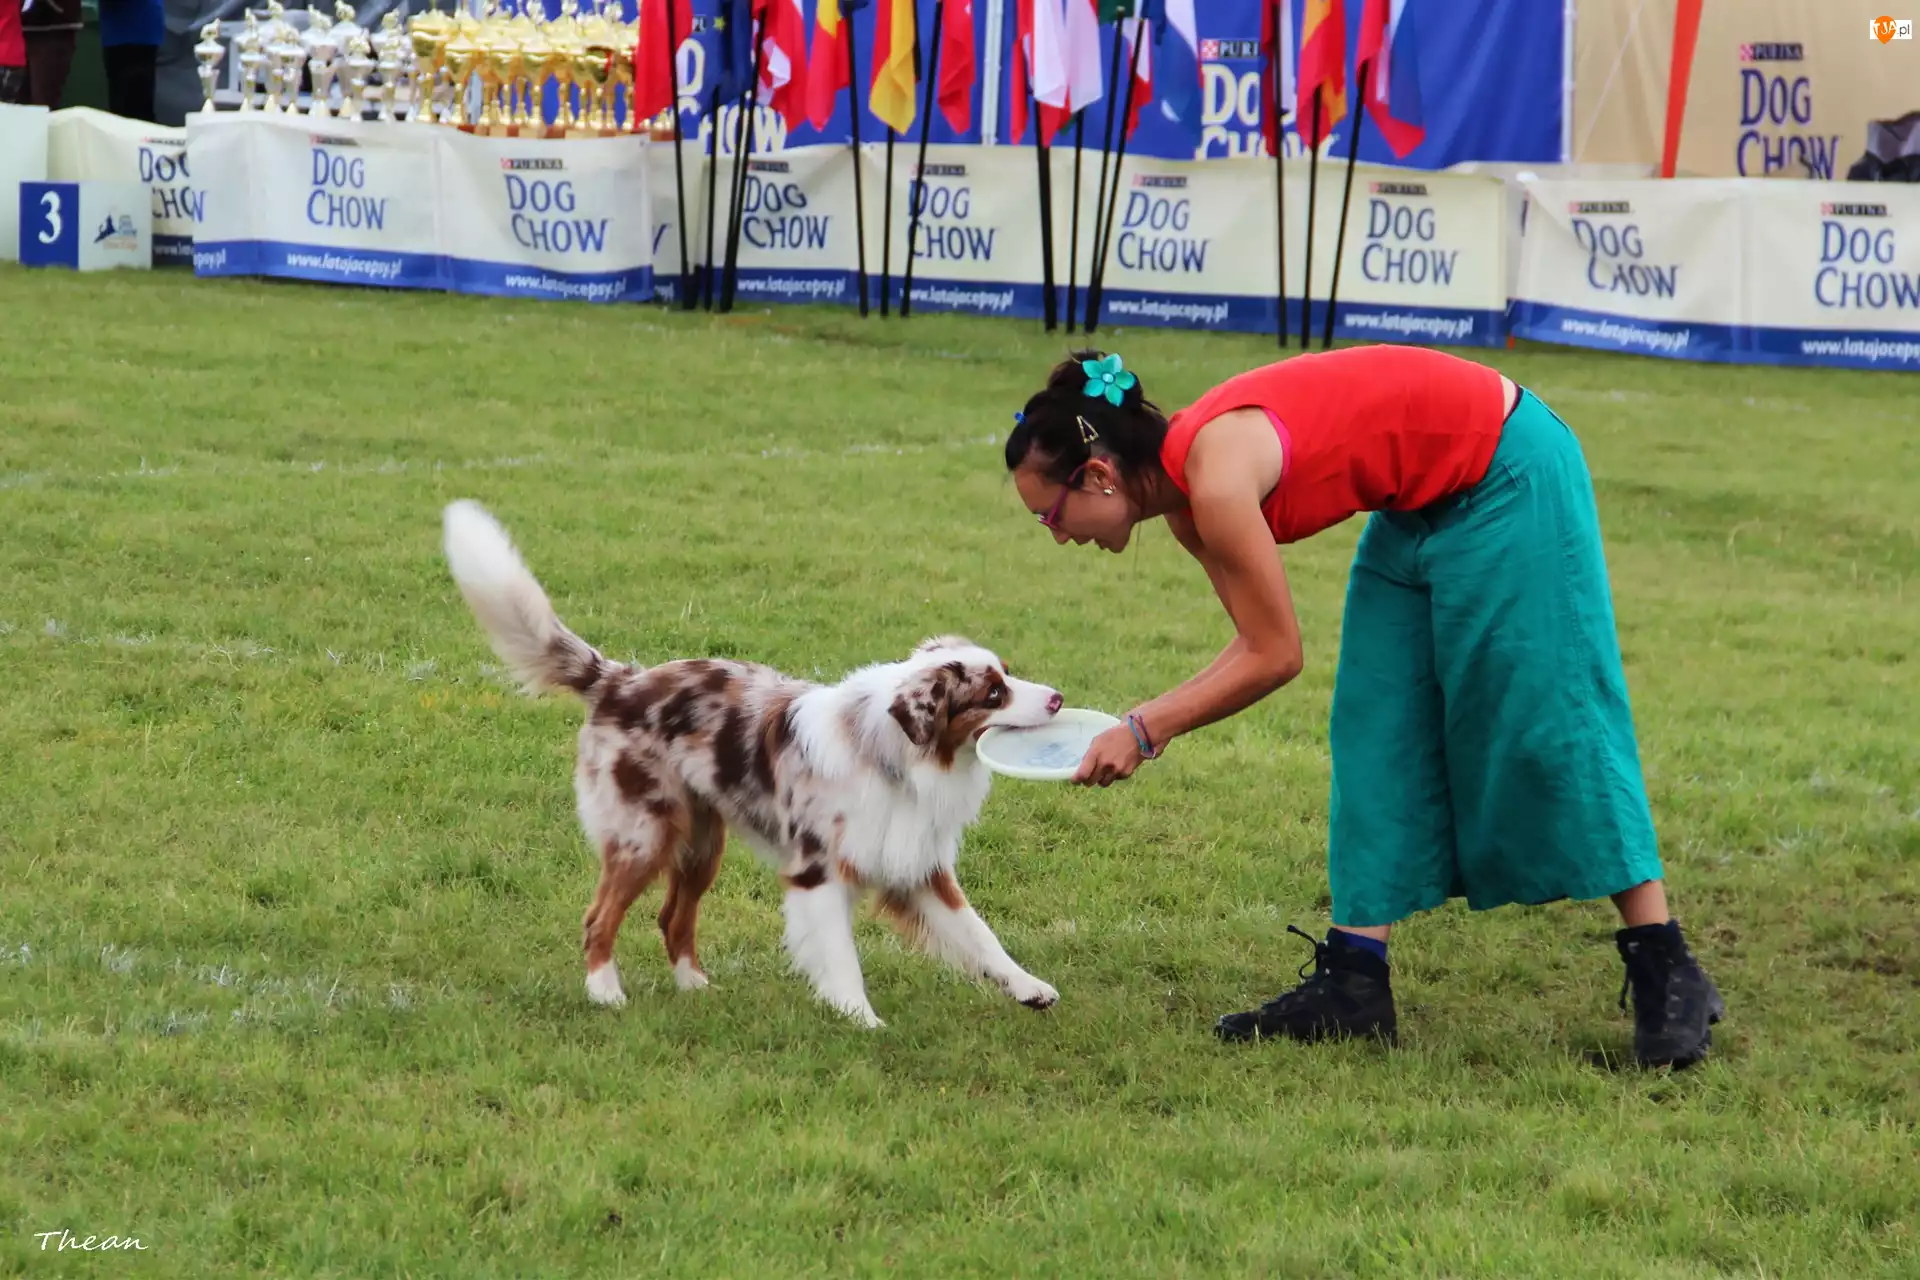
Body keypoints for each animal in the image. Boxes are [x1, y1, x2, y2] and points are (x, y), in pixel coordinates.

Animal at [443, 498, 1075, 1028]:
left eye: (1008, 674)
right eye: (992, 694)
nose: (1057, 698)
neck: (894, 756)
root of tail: (619, 681)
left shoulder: (916, 865)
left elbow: (980, 935)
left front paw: (1029, 988)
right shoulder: (818, 872)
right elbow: (841, 955)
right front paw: (860, 1019)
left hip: (702, 844)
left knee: (673, 917)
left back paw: (696, 987)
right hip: (644, 833)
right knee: (599, 917)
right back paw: (606, 993)